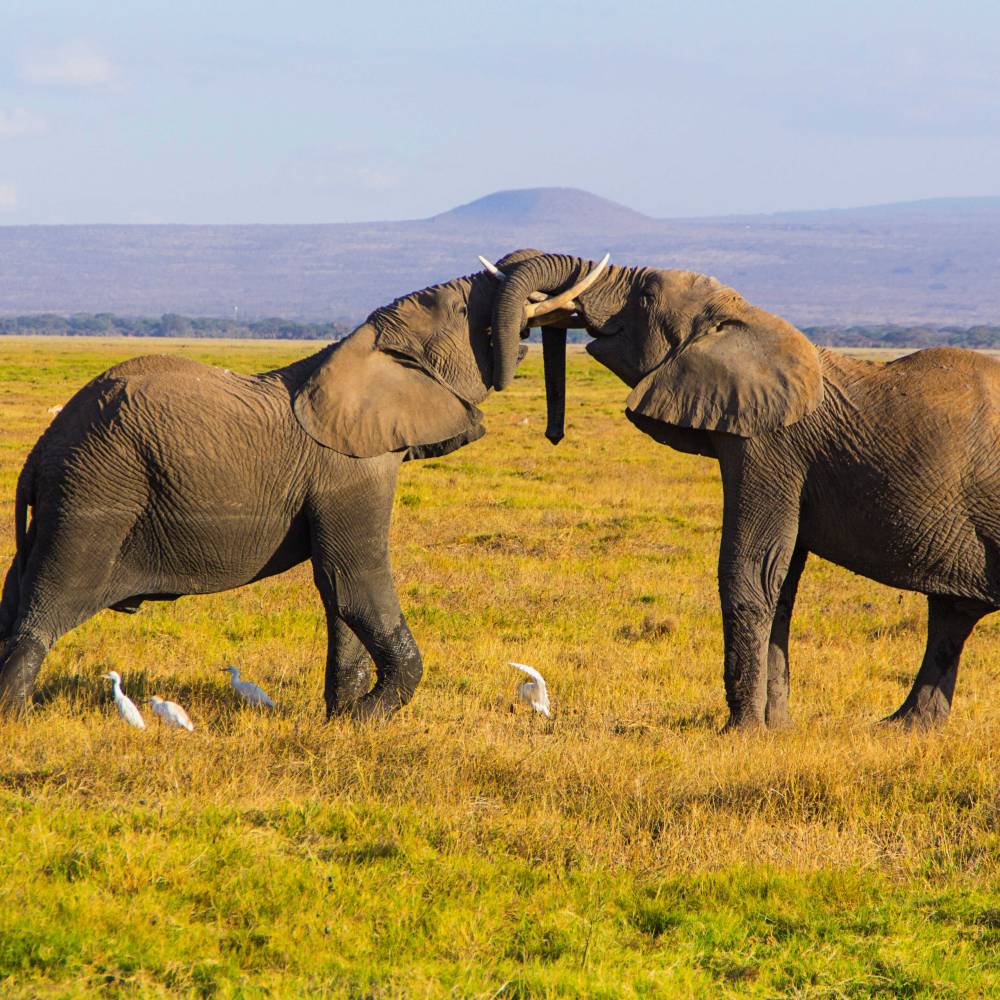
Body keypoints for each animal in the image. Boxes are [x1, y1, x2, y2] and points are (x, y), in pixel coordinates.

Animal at [0, 252, 598, 720]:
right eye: (461, 311)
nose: (533, 327)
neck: (361, 348)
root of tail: (40, 452)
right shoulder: (349, 470)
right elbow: (354, 578)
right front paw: (368, 717)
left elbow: (337, 591)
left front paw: (341, 715)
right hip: (97, 491)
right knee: (49, 603)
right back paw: (17, 715)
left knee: (15, 597)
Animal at [486, 251, 1000, 730]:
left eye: (646, 297)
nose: (553, 433)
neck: (743, 318)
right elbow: (782, 579)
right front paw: (779, 730)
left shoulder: (769, 444)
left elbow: (753, 567)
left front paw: (742, 732)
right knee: (950, 618)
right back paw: (903, 729)